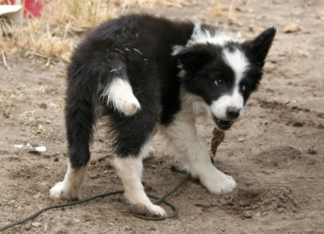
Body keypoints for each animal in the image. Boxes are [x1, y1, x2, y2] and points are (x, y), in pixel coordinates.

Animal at [49, 14, 274, 216]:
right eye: (218, 82)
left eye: (245, 87)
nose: (233, 112)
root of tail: (108, 52)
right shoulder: (174, 113)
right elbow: (197, 149)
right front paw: (216, 180)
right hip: (144, 99)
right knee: (124, 160)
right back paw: (145, 206)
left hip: (78, 100)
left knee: (79, 152)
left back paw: (66, 192)